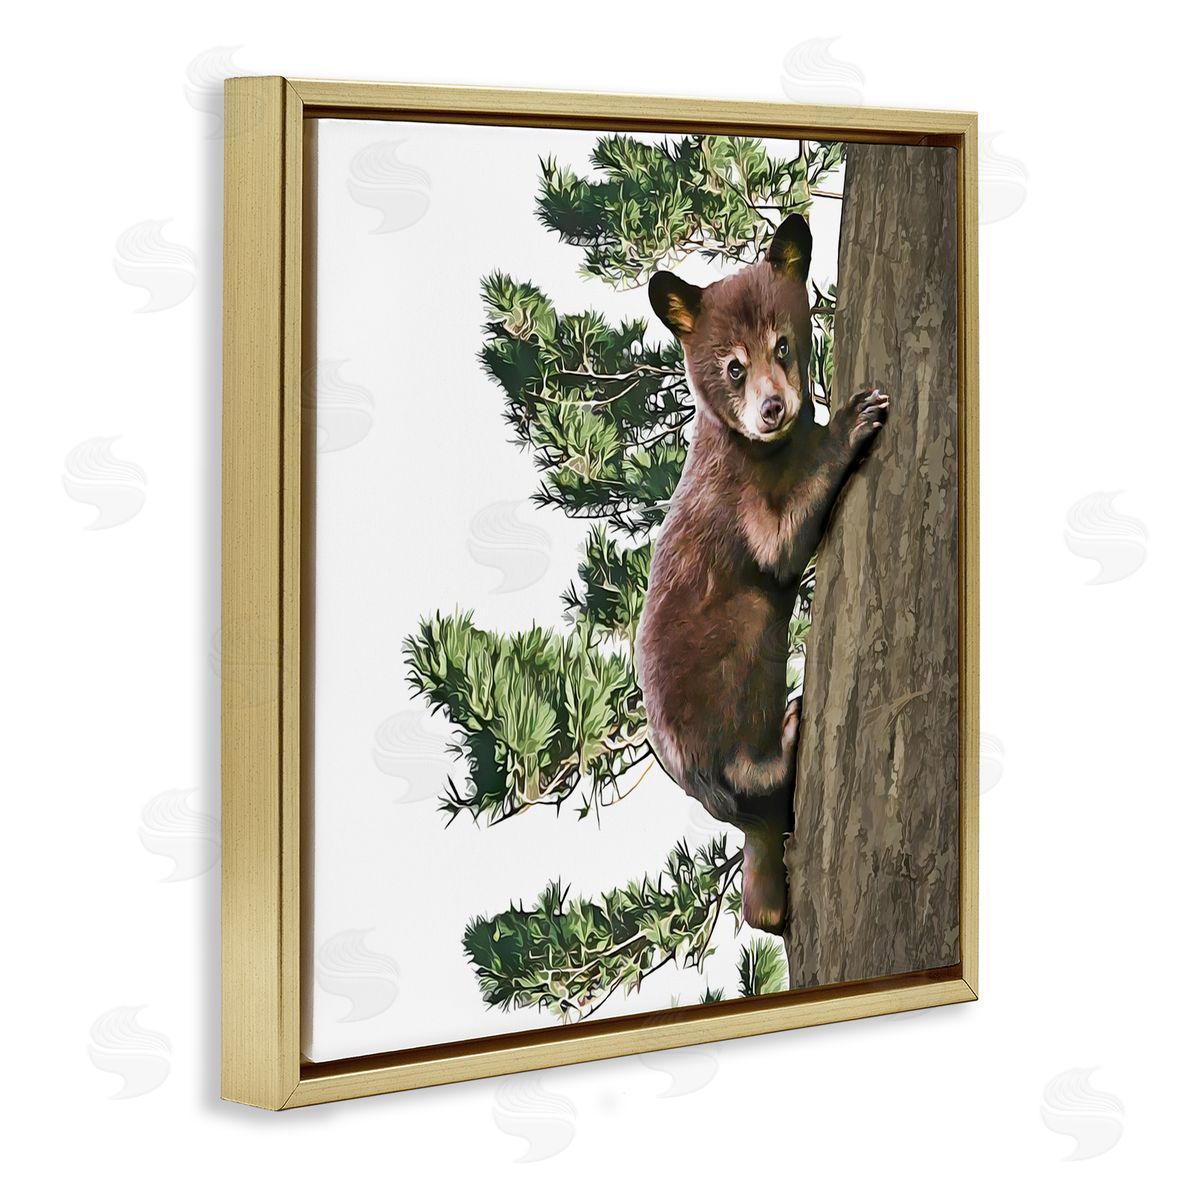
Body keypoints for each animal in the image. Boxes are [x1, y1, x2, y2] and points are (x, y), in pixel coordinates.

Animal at [634, 212, 889, 935]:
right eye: (732, 366)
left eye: (783, 345)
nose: (772, 409)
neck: (766, 448)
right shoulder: (735, 496)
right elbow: (777, 546)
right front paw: (854, 418)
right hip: (721, 710)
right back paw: (790, 734)